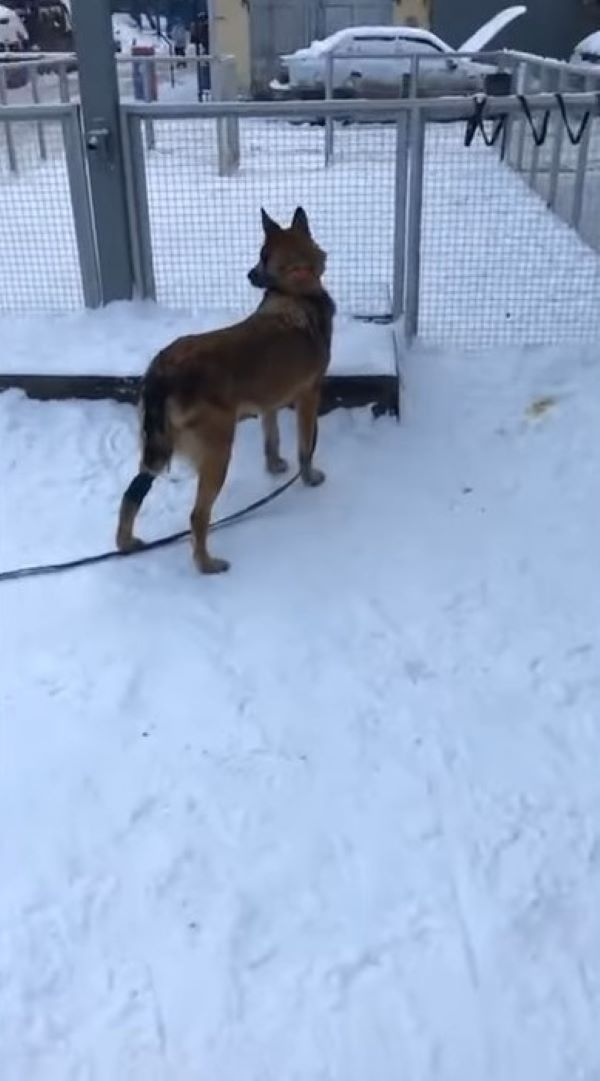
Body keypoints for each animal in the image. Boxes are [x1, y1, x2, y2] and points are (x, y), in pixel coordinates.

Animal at [115, 204, 335, 575]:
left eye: (261, 256)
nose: (249, 275)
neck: (294, 289)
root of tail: (163, 370)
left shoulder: (269, 403)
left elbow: (272, 439)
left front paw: (274, 466)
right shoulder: (308, 396)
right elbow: (305, 448)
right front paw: (308, 478)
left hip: (156, 449)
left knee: (132, 493)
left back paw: (125, 543)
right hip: (218, 452)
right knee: (197, 516)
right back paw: (206, 564)